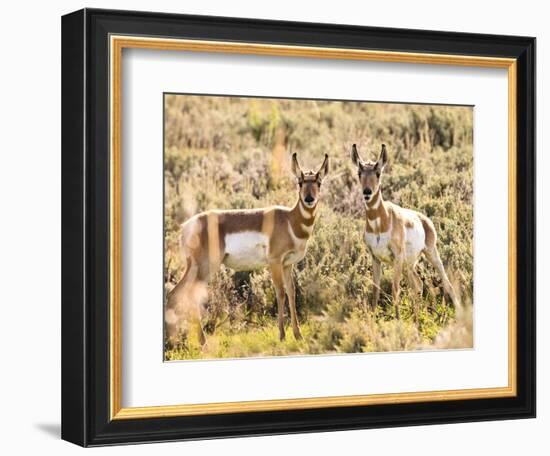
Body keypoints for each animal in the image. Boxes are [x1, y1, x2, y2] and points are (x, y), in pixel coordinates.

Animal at [166, 152, 330, 346]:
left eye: (318, 182)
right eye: (300, 181)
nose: (309, 199)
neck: (290, 220)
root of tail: (187, 226)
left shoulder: (287, 264)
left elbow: (291, 292)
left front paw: (298, 335)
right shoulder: (275, 262)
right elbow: (280, 292)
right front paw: (282, 335)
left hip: (196, 268)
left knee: (177, 294)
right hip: (205, 267)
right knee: (186, 295)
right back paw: (199, 343)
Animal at [354, 142, 462, 318]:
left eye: (378, 173)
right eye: (359, 173)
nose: (367, 192)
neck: (380, 223)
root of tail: (423, 219)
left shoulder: (397, 257)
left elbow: (395, 289)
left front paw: (398, 319)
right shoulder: (375, 258)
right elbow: (375, 291)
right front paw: (373, 317)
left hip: (430, 254)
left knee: (447, 284)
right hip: (408, 265)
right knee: (417, 285)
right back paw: (417, 316)